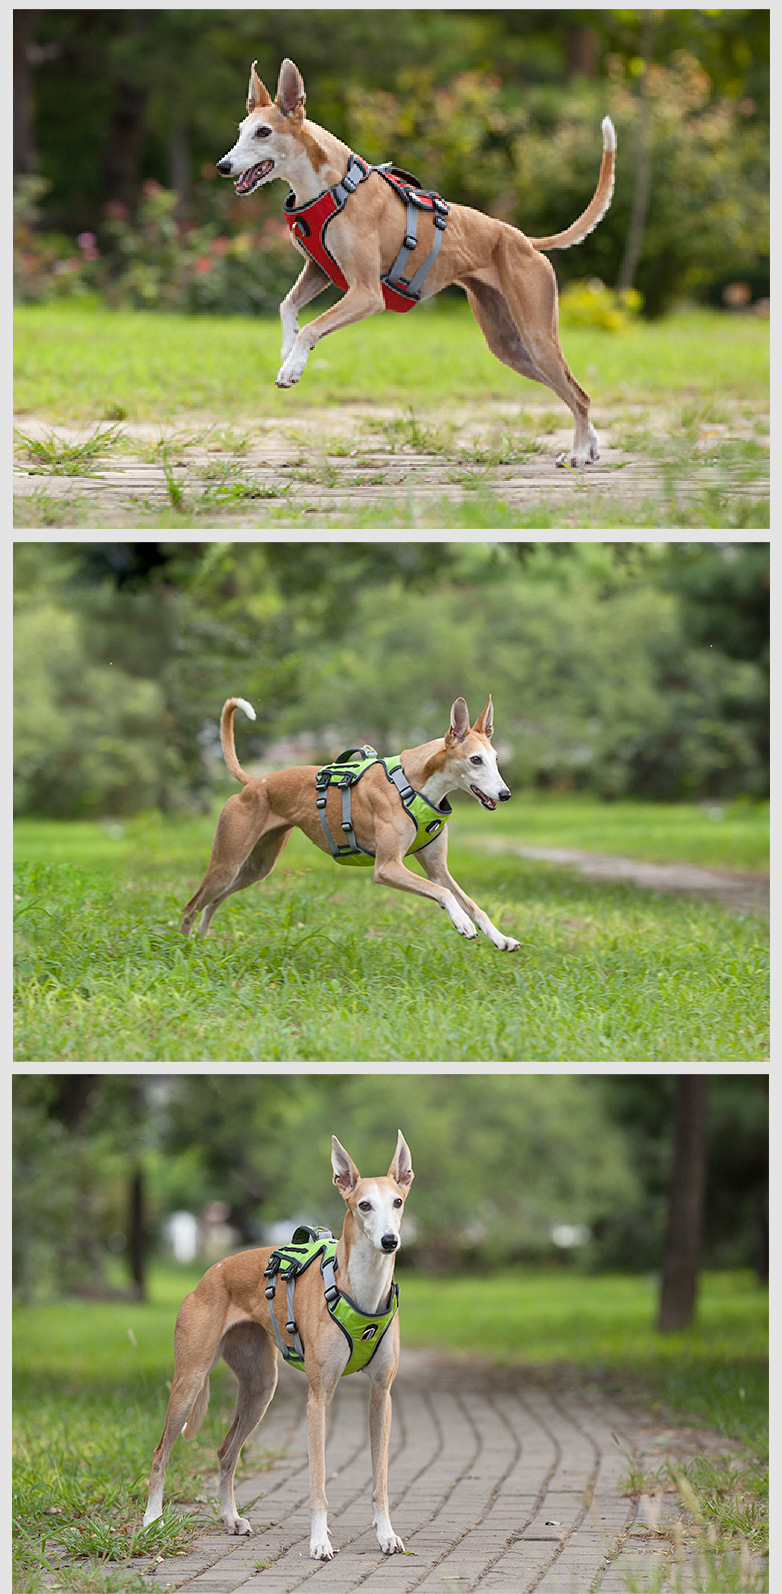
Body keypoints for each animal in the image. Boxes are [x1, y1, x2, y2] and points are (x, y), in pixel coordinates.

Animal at [145, 1134, 417, 1555]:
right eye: (364, 1205)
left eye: (398, 1202)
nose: (390, 1241)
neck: (363, 1291)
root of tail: (210, 1274)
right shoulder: (318, 1397)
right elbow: (318, 1481)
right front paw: (319, 1541)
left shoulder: (381, 1394)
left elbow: (381, 1480)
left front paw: (386, 1534)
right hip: (189, 1382)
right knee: (161, 1453)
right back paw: (151, 1521)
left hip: (260, 1389)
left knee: (225, 1452)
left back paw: (231, 1519)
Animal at [179, 694, 519, 943]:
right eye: (475, 759)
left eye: (496, 759)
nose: (505, 794)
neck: (412, 783)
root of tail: (253, 782)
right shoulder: (387, 867)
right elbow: (446, 894)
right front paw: (462, 924)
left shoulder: (437, 868)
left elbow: (470, 902)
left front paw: (501, 938)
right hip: (227, 861)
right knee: (192, 904)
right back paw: (185, 947)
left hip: (257, 867)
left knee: (213, 902)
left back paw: (204, 940)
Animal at [216, 57, 614, 465]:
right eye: (241, 131)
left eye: (263, 132)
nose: (222, 166)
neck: (333, 186)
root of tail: (523, 240)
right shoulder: (319, 271)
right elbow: (287, 306)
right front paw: (288, 349)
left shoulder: (366, 294)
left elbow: (313, 327)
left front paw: (292, 368)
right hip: (511, 346)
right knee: (570, 392)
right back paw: (590, 446)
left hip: (536, 335)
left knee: (579, 395)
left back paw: (579, 453)